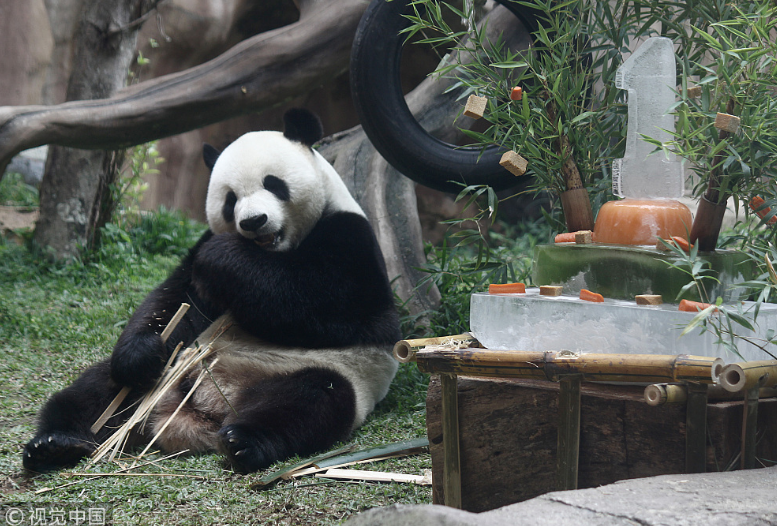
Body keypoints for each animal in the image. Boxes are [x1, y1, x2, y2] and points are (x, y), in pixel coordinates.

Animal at [24, 109, 400, 476]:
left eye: (273, 184)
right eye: (230, 200)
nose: (253, 221)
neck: (271, 251)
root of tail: (204, 408)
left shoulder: (350, 238)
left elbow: (332, 307)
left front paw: (223, 257)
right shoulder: (196, 256)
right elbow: (174, 301)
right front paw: (140, 353)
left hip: (327, 374)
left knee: (310, 401)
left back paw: (243, 440)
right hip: (172, 368)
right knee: (95, 389)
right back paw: (55, 443)